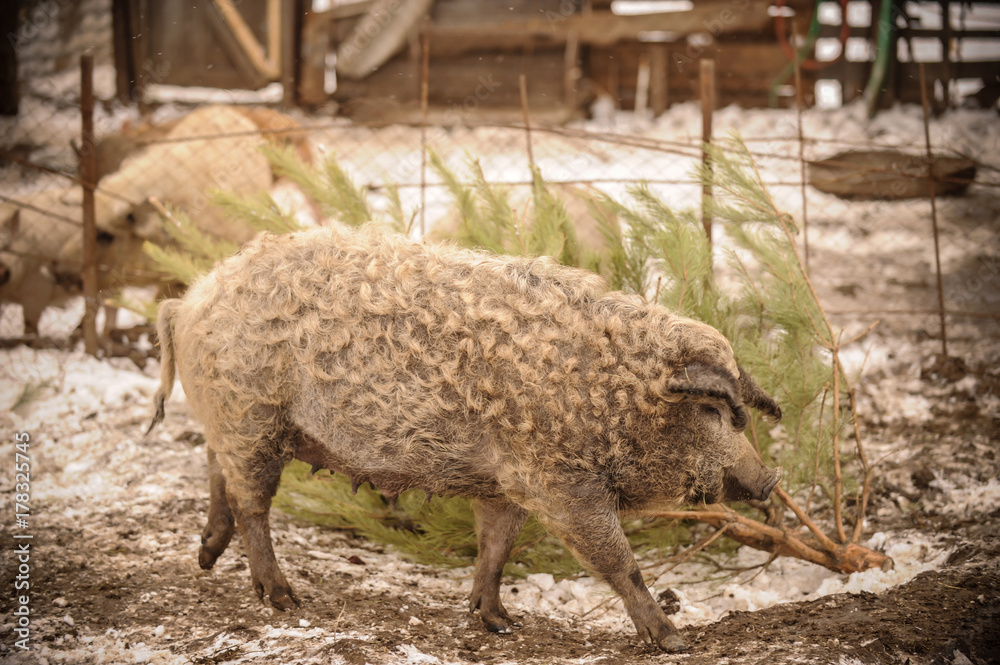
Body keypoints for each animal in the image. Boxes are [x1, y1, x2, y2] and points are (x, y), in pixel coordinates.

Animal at [148, 224, 782, 652]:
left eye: (735, 415)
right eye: (711, 410)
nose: (769, 479)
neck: (607, 394)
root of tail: (190, 297)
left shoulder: (507, 483)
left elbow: (496, 547)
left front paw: (499, 622)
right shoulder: (560, 483)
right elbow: (618, 560)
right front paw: (672, 642)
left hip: (235, 419)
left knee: (215, 467)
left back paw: (207, 557)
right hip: (251, 415)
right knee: (252, 503)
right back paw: (283, 597)